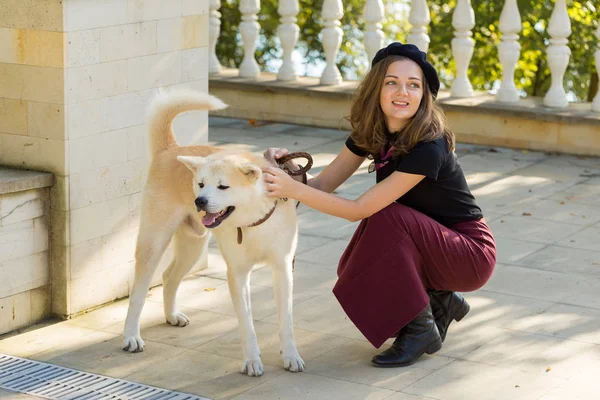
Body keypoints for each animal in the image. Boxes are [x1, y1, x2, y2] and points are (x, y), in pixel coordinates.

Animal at [122, 86, 304, 376]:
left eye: (222, 186)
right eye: (200, 184)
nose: (199, 201)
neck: (252, 223)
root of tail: (170, 149)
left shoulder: (283, 269)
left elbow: (285, 320)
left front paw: (291, 355)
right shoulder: (237, 274)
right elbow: (247, 324)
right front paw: (252, 360)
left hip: (193, 247)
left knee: (169, 277)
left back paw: (171, 316)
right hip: (153, 243)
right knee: (138, 293)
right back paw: (131, 337)